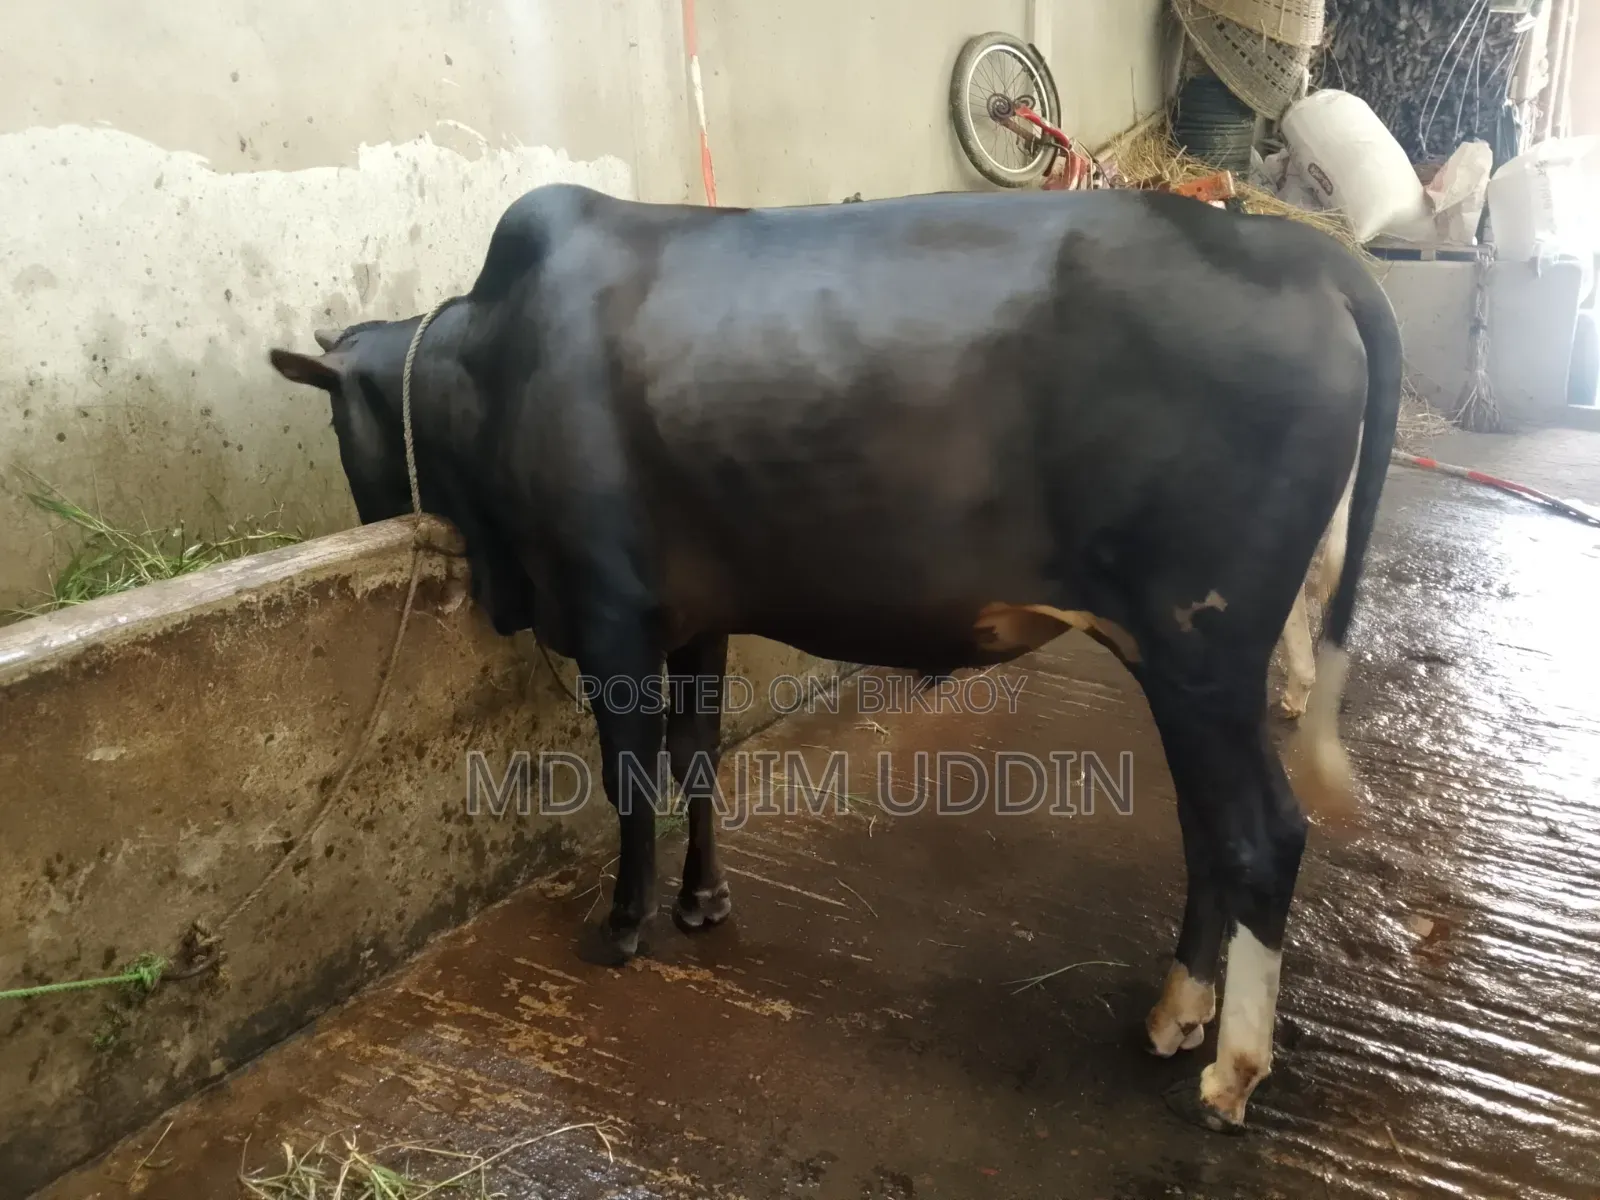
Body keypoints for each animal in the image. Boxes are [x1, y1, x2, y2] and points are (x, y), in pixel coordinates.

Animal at [268, 182, 1400, 1134]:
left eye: (334, 419)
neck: (492, 360)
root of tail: (1303, 253)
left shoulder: (610, 618)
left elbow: (632, 778)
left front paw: (623, 927)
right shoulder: (697, 619)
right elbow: (697, 760)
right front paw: (703, 903)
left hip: (1200, 647)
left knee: (1260, 834)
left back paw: (1231, 1072)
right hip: (1180, 664)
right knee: (1209, 830)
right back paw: (1174, 1013)